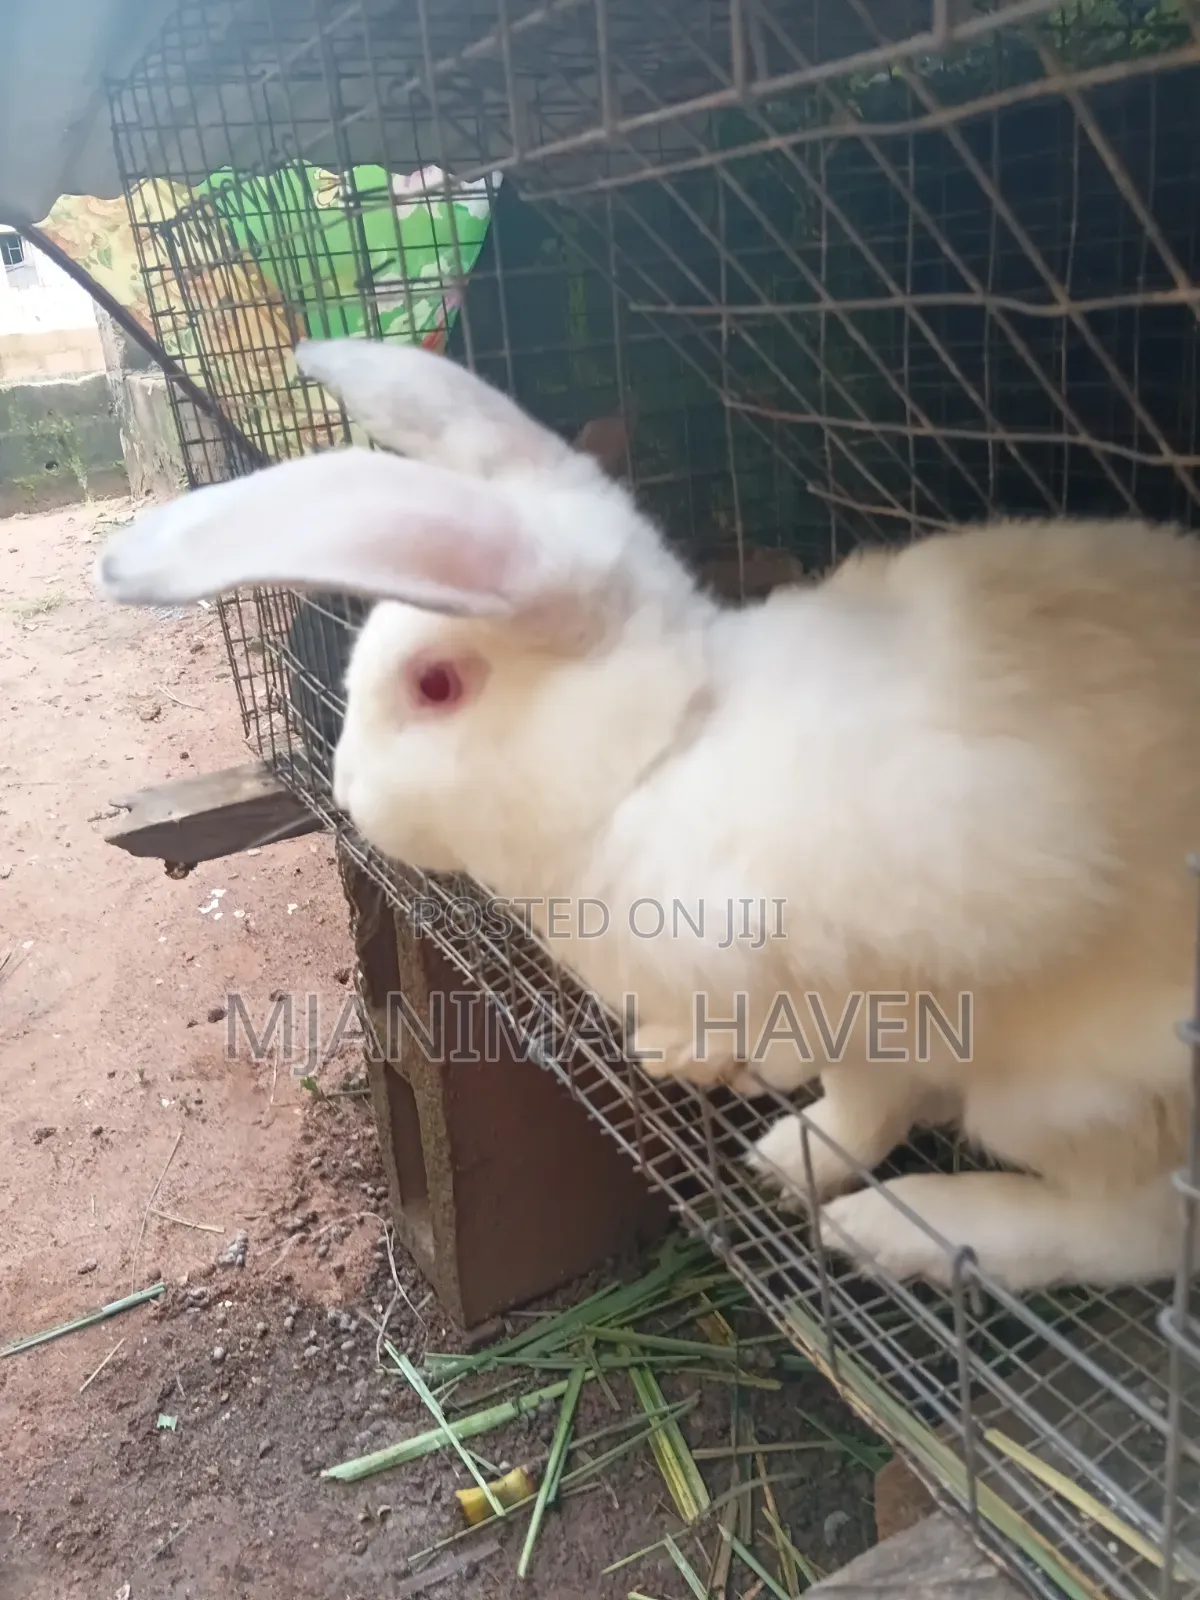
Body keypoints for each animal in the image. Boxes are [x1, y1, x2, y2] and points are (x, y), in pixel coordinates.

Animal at [94, 334, 1200, 1297]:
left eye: (438, 685)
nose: (354, 796)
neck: (661, 755)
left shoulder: (874, 1007)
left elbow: (857, 1109)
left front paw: (785, 1163)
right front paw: (693, 1060)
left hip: (1067, 1089)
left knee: (1137, 1229)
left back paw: (903, 1227)